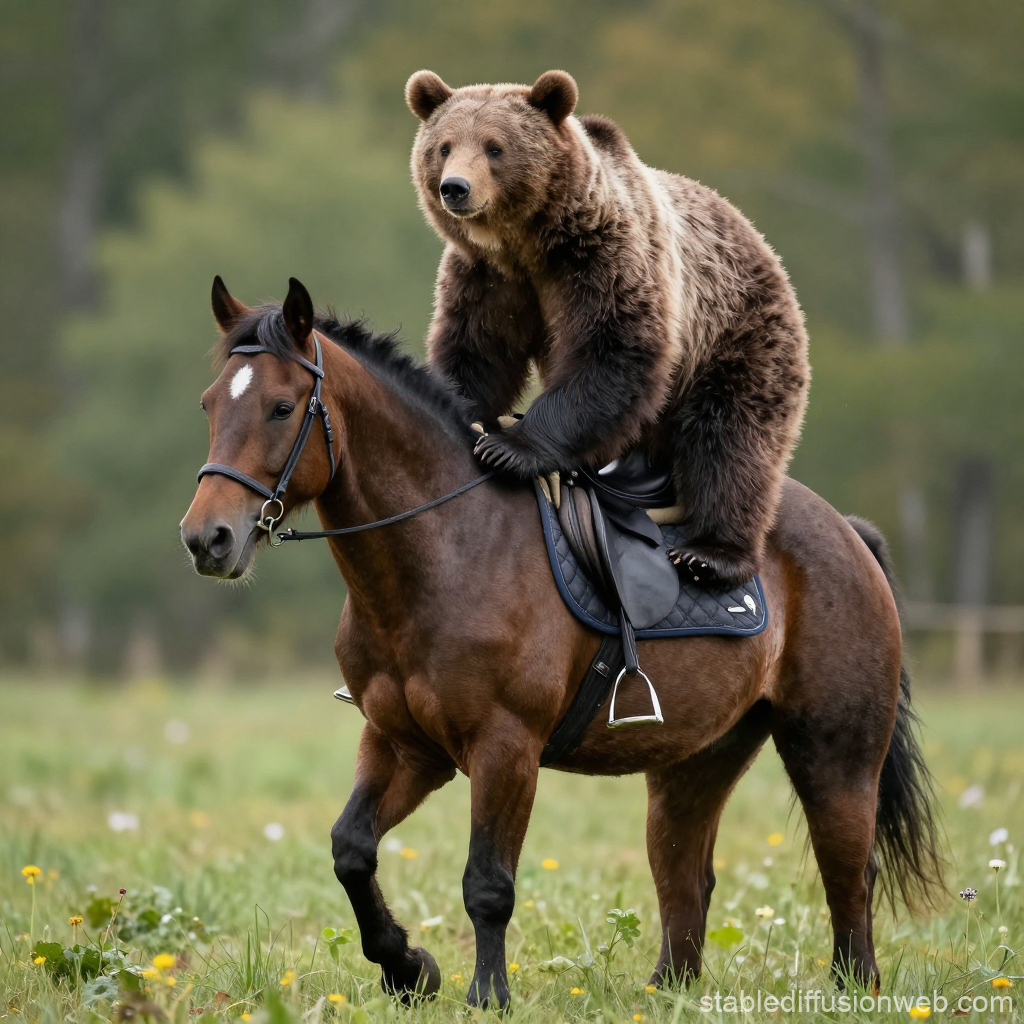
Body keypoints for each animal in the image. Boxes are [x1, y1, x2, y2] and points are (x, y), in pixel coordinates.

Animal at [181, 277, 942, 1009]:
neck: (448, 551)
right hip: (696, 762)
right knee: (685, 875)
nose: (206, 539)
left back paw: (852, 987)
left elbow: (488, 883)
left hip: (834, 753)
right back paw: (668, 990)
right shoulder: (406, 744)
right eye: (210, 404)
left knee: (848, 870)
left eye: (282, 407)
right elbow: (351, 850)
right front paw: (407, 969)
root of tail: (846, 533)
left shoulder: (505, 747)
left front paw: (487, 995)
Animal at [406, 69, 810, 588]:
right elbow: (476, 352)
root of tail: (761, 241)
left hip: (739, 332)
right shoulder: (487, 279)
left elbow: (614, 349)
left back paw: (712, 553)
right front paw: (468, 413)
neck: (527, 245)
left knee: (732, 439)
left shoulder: (603, 257)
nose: (455, 188)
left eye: (495, 147)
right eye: (444, 146)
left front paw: (510, 448)